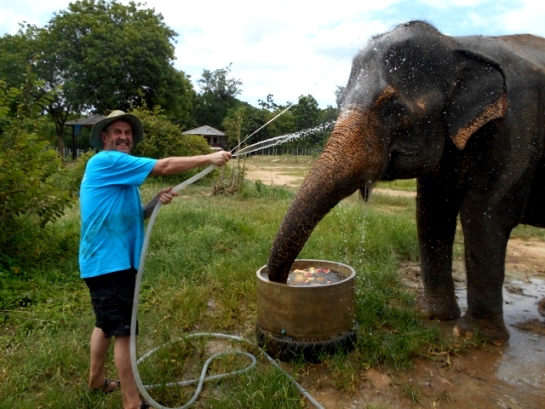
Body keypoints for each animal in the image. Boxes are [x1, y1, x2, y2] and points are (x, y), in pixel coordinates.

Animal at [266, 19, 544, 344]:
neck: (456, 44)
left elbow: (485, 215)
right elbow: (432, 211)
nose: (283, 283)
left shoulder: (515, 128)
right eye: (338, 104)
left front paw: (474, 336)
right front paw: (432, 315)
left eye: (393, 109)